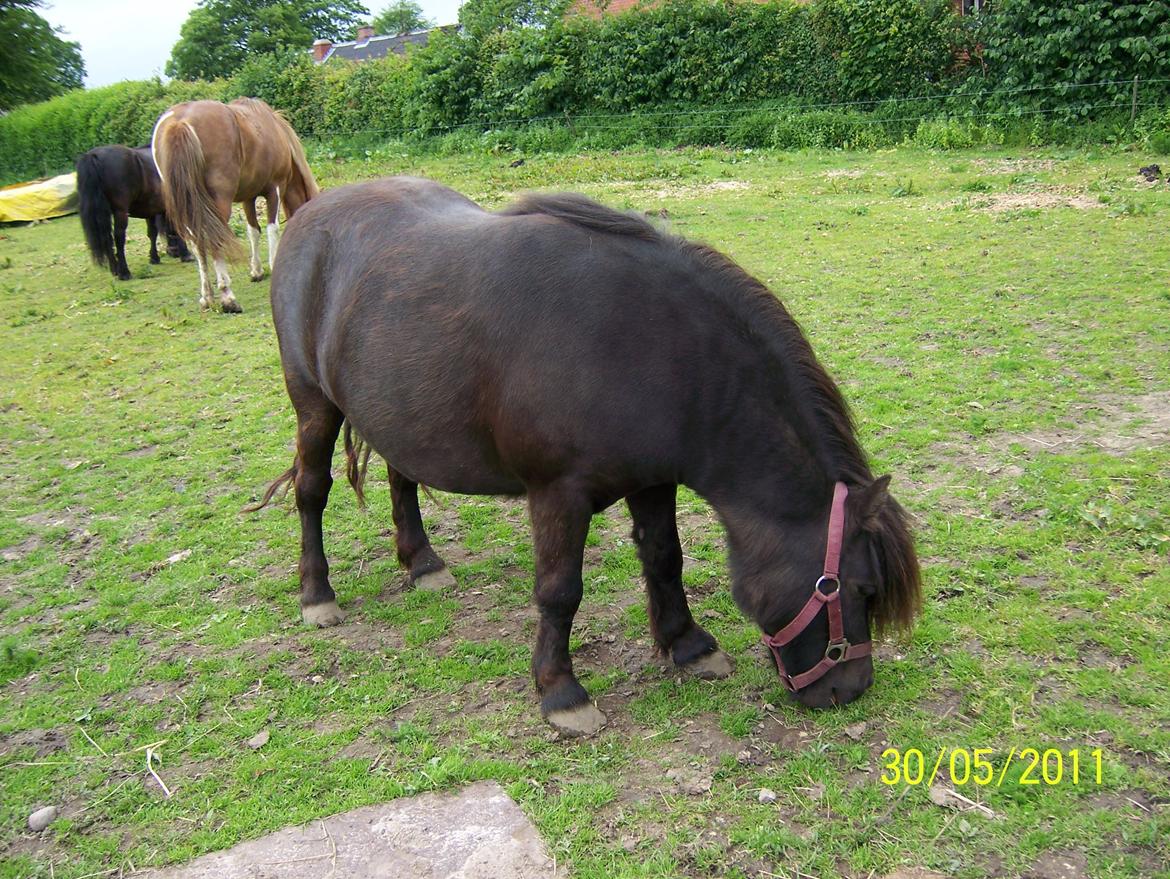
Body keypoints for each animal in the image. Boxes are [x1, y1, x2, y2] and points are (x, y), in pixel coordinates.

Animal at [75, 144, 188, 279]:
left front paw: (154, 257)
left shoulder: (151, 210)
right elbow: (176, 229)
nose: (172, 252)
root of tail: (93, 155)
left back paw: (115, 269)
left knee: (106, 238)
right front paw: (186, 254)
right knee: (118, 238)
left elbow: (152, 233)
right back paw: (124, 272)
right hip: (120, 212)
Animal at [150, 97, 318, 313]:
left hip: (189, 206)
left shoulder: (248, 197)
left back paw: (207, 297)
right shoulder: (275, 189)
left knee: (197, 244)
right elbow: (272, 229)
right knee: (215, 242)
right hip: (219, 204)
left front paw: (257, 271)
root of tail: (179, 121)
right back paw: (228, 297)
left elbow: (253, 231)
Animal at [256, 176, 921, 735]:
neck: (648, 344)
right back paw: (317, 595)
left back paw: (422, 562)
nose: (849, 689)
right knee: (311, 491)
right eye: (859, 589)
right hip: (314, 405)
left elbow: (664, 558)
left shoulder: (653, 481)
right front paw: (561, 692)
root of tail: (309, 213)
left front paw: (688, 645)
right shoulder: (559, 495)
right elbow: (560, 591)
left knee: (404, 478)